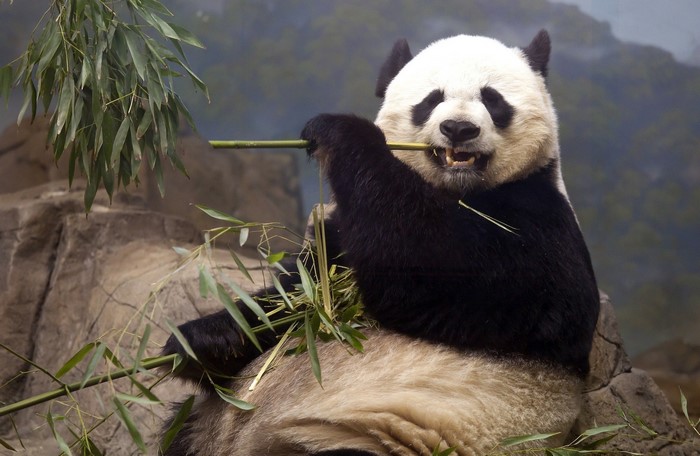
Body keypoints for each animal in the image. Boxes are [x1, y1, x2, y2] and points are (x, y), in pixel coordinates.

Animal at [162, 30, 600, 455]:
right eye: (431, 99)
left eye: (492, 100)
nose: (459, 129)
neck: (457, 190)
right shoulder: (340, 241)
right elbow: (299, 299)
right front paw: (204, 340)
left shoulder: (541, 223)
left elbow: (441, 269)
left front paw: (339, 130)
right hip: (206, 425)